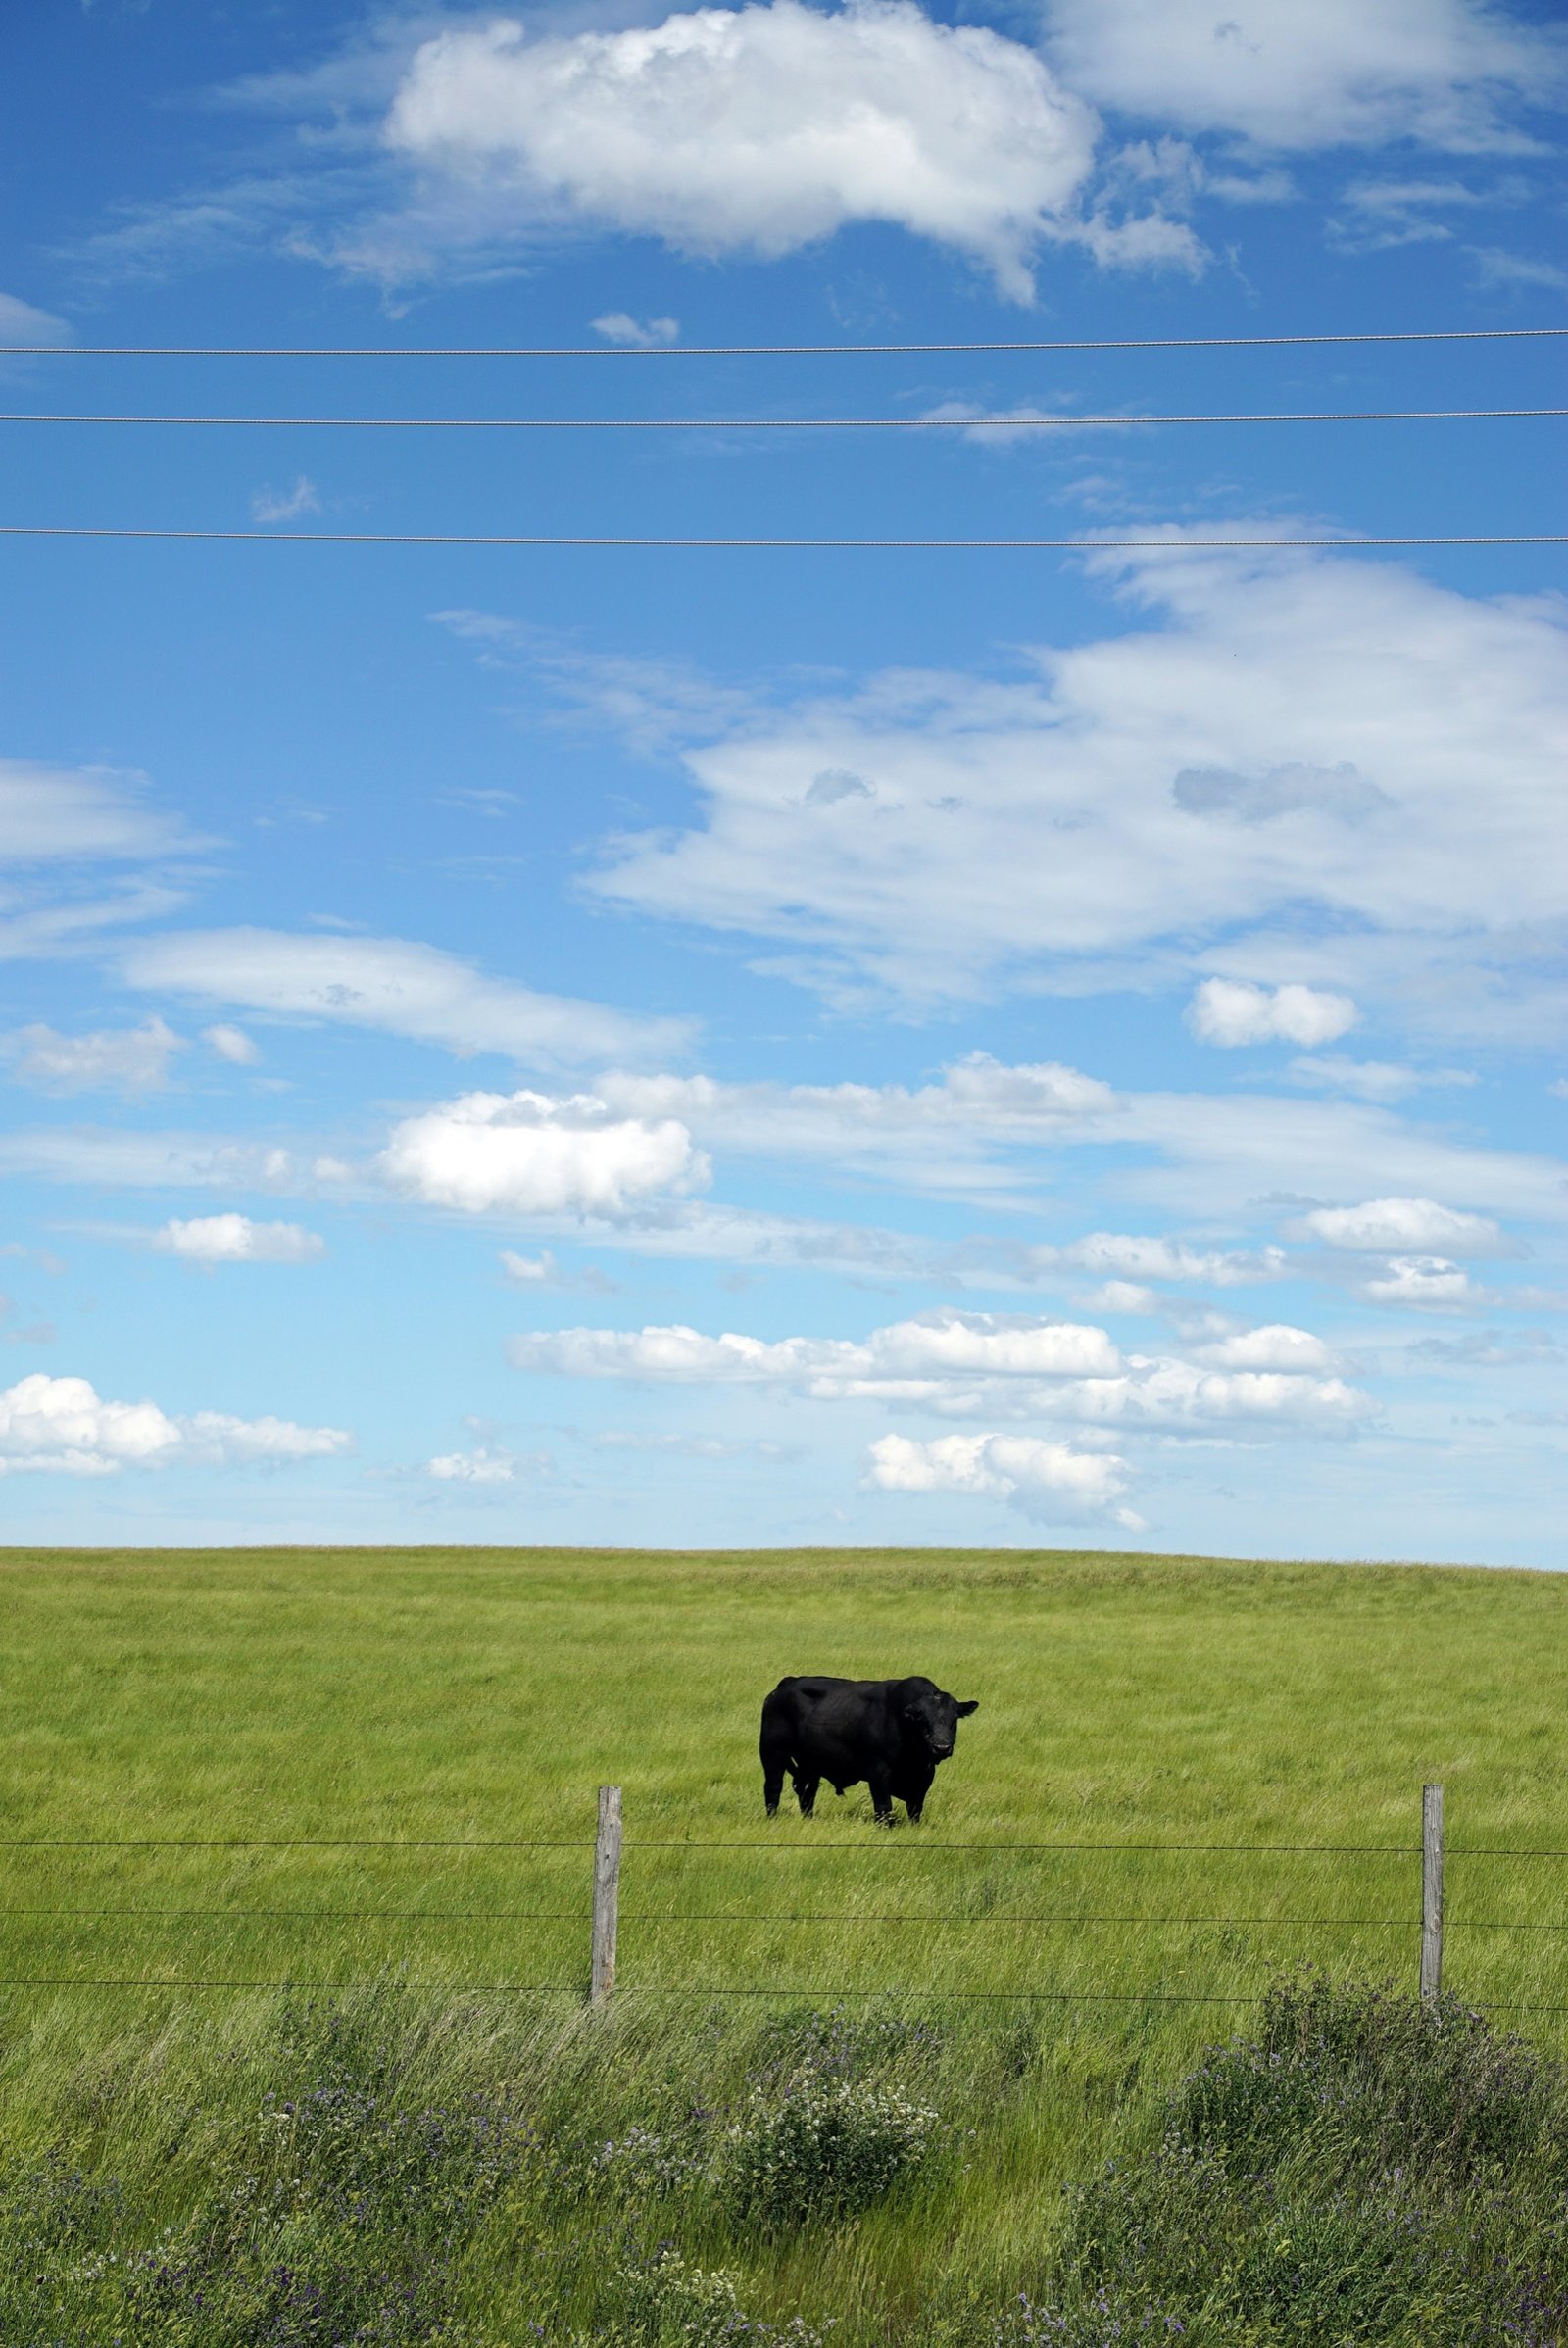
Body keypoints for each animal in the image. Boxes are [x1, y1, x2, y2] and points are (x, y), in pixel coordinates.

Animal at [759, 1674, 979, 1826]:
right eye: (922, 1719)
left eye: (954, 1719)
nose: (941, 1747)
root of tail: (787, 1683)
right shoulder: (879, 1773)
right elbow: (884, 1807)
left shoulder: (924, 1776)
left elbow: (915, 1808)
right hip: (772, 1753)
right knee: (773, 1788)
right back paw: (772, 1818)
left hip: (810, 1764)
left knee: (807, 1792)